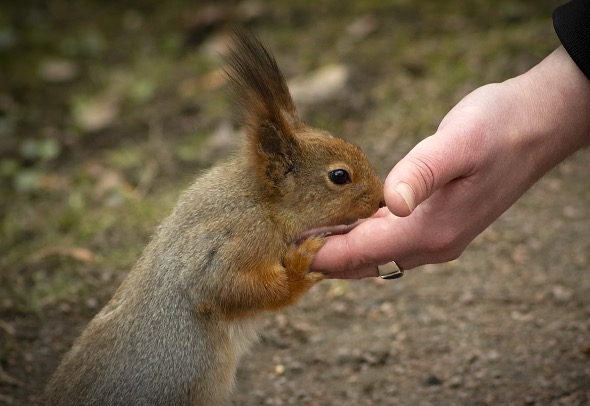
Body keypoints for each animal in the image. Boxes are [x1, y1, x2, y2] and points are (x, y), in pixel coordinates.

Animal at [40, 30, 384, 404]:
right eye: (339, 176)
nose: (381, 199)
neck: (261, 204)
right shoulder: (227, 247)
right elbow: (232, 288)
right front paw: (297, 270)